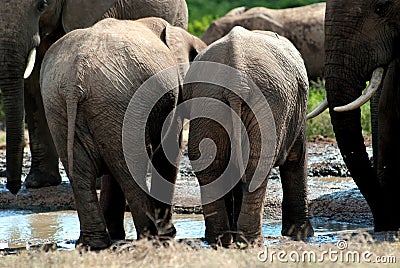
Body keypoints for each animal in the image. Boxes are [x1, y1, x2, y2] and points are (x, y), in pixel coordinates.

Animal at [41, 17, 206, 249]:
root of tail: (75, 78)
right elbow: (168, 152)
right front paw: (168, 235)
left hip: (60, 105)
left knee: (84, 173)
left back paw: (94, 243)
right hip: (118, 101)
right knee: (130, 170)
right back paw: (150, 237)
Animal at [183, 26, 314, 246]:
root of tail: (236, 74)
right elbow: (296, 158)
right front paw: (301, 235)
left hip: (209, 102)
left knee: (211, 165)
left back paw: (220, 240)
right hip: (266, 104)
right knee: (256, 166)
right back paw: (250, 241)